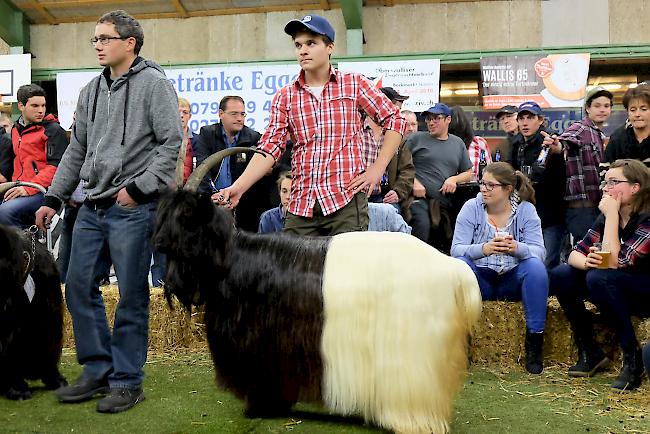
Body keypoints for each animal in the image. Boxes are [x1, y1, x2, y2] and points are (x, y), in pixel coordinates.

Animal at [153, 147, 480, 432]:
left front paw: (259, 408)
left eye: (187, 213)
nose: (158, 242)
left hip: (409, 348)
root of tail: (451, 267)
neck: (233, 256)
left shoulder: (262, 343)